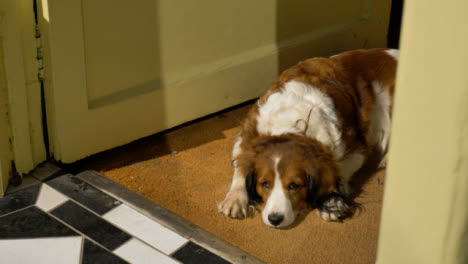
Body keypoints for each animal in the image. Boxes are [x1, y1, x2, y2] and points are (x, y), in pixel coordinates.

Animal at [218, 48, 396, 228]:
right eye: (265, 184)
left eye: (294, 185)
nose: (275, 219)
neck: (290, 123)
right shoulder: (247, 134)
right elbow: (241, 165)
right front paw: (235, 197)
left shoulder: (357, 148)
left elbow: (338, 171)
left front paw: (332, 201)